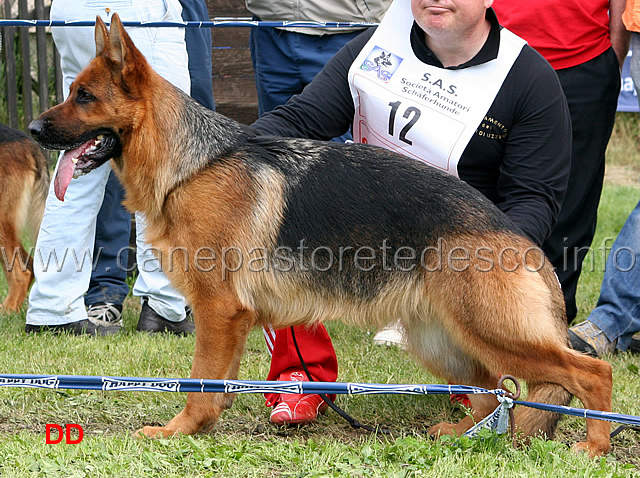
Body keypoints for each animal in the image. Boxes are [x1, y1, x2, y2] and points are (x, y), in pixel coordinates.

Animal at [28, 14, 616, 456]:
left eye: (84, 97)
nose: (32, 130)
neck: (191, 164)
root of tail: (515, 235)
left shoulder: (220, 310)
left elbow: (202, 381)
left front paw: (180, 431)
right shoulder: (230, 315)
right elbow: (216, 382)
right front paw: (204, 425)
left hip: (494, 332)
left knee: (593, 372)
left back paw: (594, 446)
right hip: (445, 339)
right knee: (492, 393)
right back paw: (463, 434)